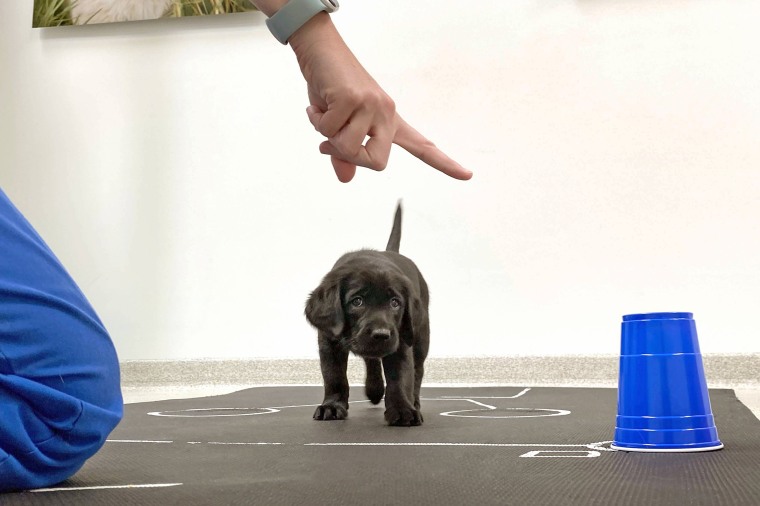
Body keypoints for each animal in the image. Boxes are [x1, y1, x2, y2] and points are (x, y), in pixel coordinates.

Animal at [306, 202, 430, 426]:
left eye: (395, 303)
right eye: (357, 301)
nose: (381, 334)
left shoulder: (400, 341)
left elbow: (400, 378)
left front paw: (403, 409)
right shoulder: (329, 341)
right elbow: (334, 375)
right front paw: (332, 406)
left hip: (420, 337)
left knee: (417, 370)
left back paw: (413, 401)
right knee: (371, 360)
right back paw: (374, 390)